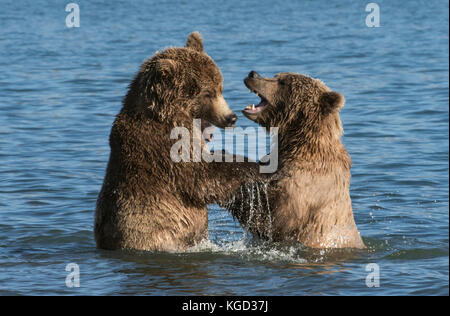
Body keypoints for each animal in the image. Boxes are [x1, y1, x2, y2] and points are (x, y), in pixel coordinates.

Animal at [96, 32, 264, 252]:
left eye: (220, 88)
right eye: (207, 93)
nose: (231, 117)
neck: (168, 116)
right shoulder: (164, 147)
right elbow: (200, 177)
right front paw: (254, 166)